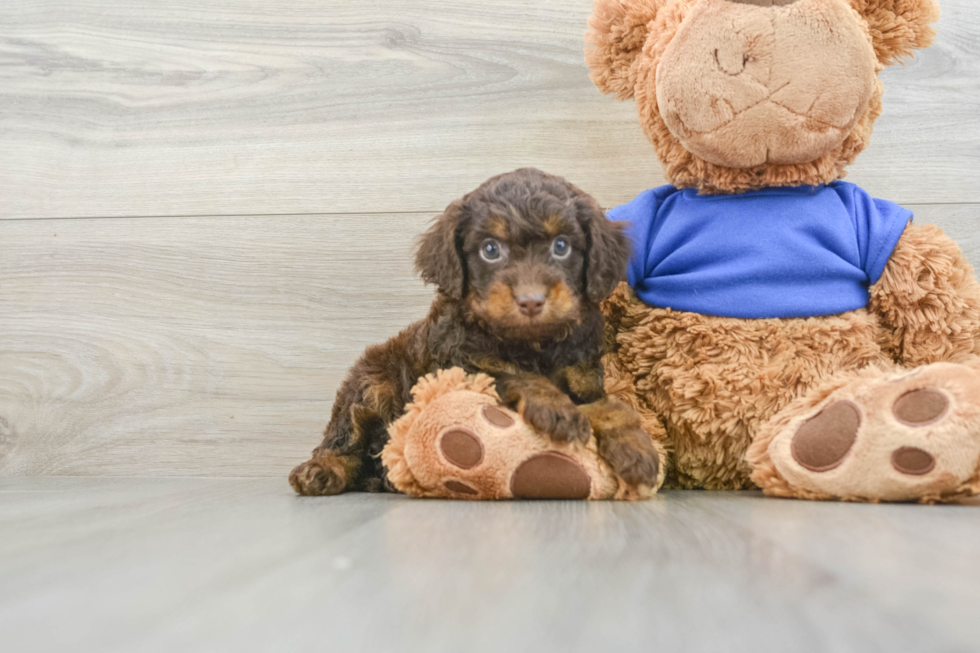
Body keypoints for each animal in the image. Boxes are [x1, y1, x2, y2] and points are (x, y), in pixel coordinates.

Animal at [290, 167, 660, 494]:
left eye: (561, 246)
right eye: (490, 249)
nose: (531, 301)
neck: (532, 342)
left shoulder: (584, 379)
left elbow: (612, 407)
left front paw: (637, 449)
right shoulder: (458, 366)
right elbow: (514, 375)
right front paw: (557, 410)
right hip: (371, 383)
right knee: (343, 441)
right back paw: (321, 470)